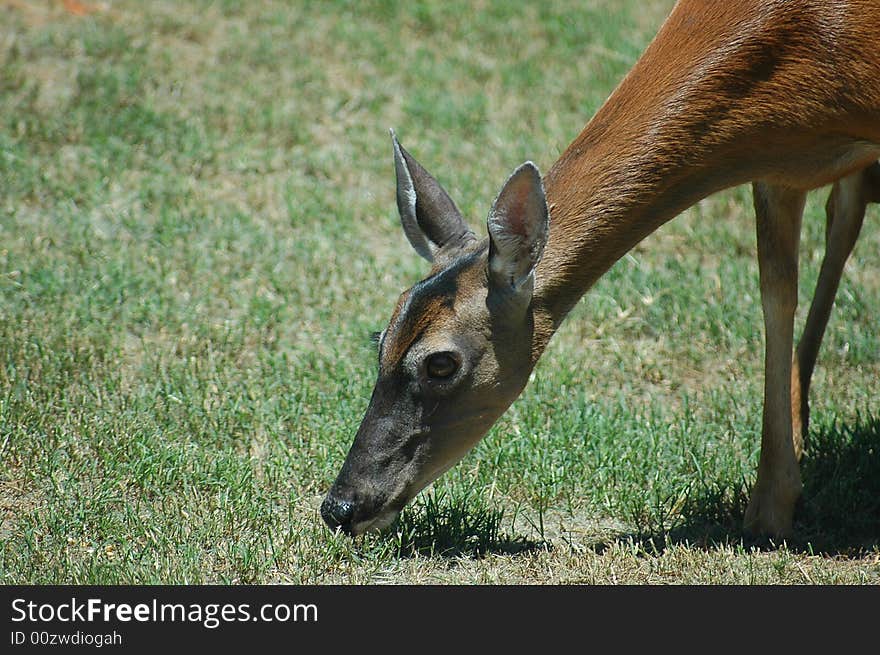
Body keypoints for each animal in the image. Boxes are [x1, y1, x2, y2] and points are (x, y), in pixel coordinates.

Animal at [322, 0, 880, 540]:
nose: (339, 506)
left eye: (441, 363)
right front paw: (773, 504)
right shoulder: (776, 170)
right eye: (380, 340)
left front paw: (772, 505)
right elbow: (776, 293)